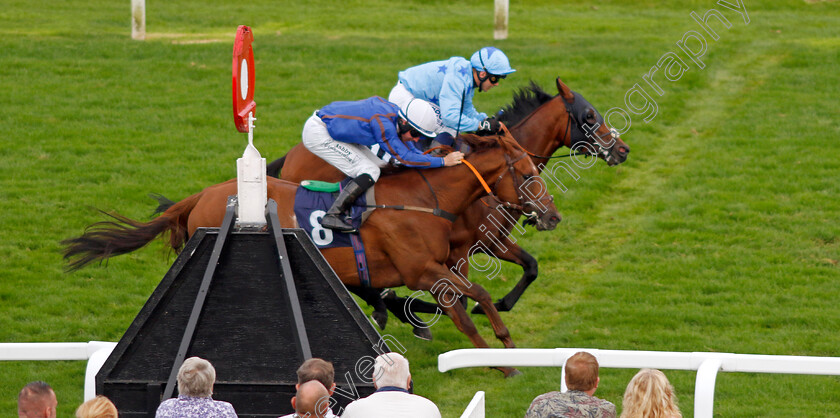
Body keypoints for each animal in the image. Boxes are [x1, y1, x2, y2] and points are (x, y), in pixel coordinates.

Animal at [64, 132, 556, 378]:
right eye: (527, 174)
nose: (552, 216)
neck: (423, 199)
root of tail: (202, 194)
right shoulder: (423, 271)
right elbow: (471, 303)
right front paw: (503, 359)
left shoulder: (439, 268)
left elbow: (471, 302)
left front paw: (504, 346)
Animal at [266, 77, 628, 324]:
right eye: (589, 115)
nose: (622, 149)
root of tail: (293, 154)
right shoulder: (460, 250)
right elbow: (461, 294)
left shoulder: (491, 241)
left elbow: (531, 266)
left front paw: (496, 305)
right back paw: (389, 305)